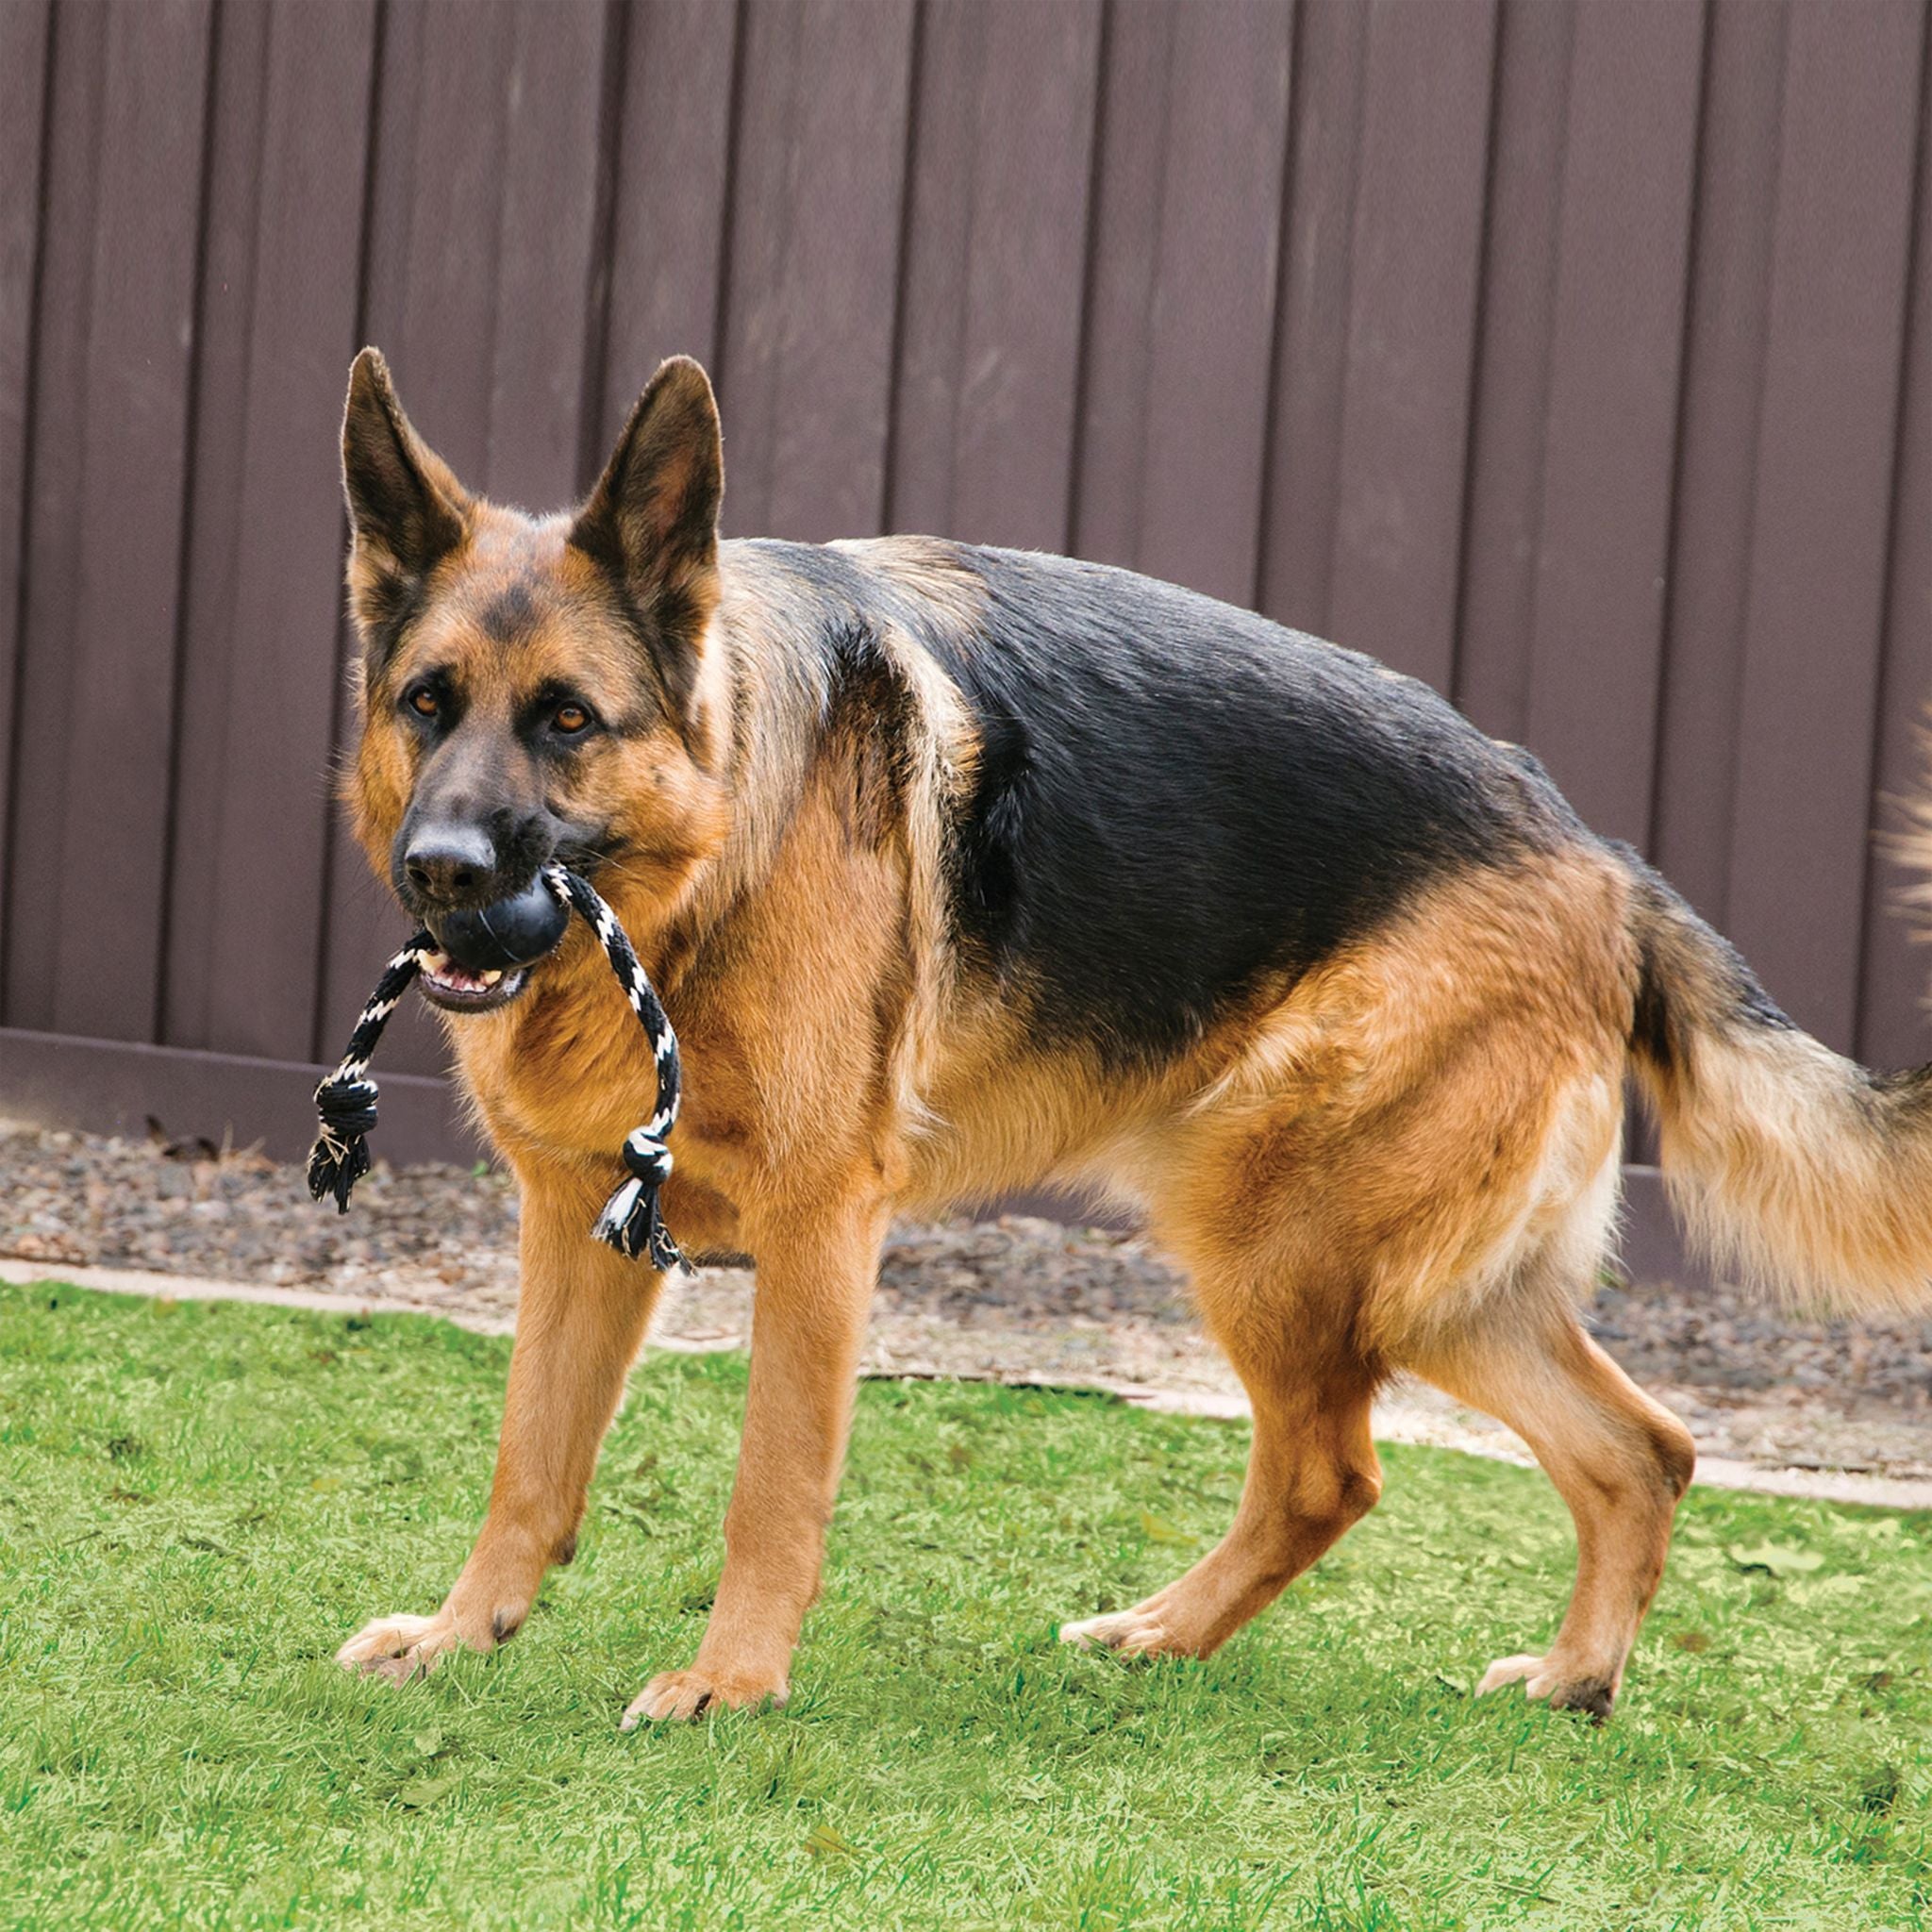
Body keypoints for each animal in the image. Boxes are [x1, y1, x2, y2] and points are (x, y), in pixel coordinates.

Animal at [332, 355, 1932, 1731]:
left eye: (568, 720)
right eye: (428, 705)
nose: (441, 875)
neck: (720, 845)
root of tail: (1603, 857)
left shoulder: (819, 1231)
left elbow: (770, 1487)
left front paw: (731, 1686)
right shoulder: (576, 1224)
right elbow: (529, 1463)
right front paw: (461, 1635)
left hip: (1280, 1231)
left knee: (1335, 1472)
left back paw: (1203, 1633)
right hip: (1423, 1285)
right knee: (1636, 1453)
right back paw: (1550, 1678)